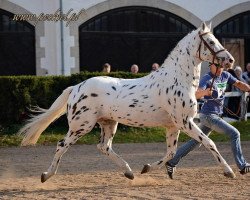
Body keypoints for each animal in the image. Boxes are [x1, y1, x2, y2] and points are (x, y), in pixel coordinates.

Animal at [18, 22, 235, 183]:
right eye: (211, 41)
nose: (230, 60)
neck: (177, 79)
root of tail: (76, 87)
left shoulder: (174, 126)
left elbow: (171, 152)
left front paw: (146, 168)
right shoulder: (185, 122)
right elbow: (209, 143)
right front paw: (229, 172)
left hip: (108, 123)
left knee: (103, 147)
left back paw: (129, 172)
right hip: (81, 126)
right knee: (62, 145)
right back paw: (46, 175)